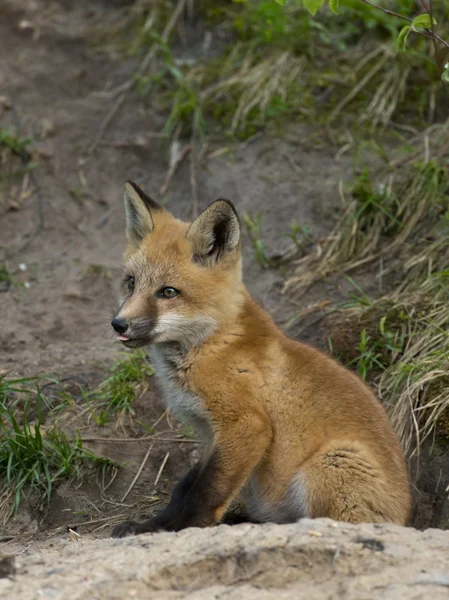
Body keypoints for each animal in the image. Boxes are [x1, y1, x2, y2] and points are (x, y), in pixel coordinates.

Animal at [111, 180, 410, 536]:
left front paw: (180, 529)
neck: (213, 343)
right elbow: (184, 487)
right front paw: (153, 524)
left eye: (168, 292)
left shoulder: (246, 425)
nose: (118, 324)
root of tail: (405, 519)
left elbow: (206, 491)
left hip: (330, 463)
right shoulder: (210, 435)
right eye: (130, 283)